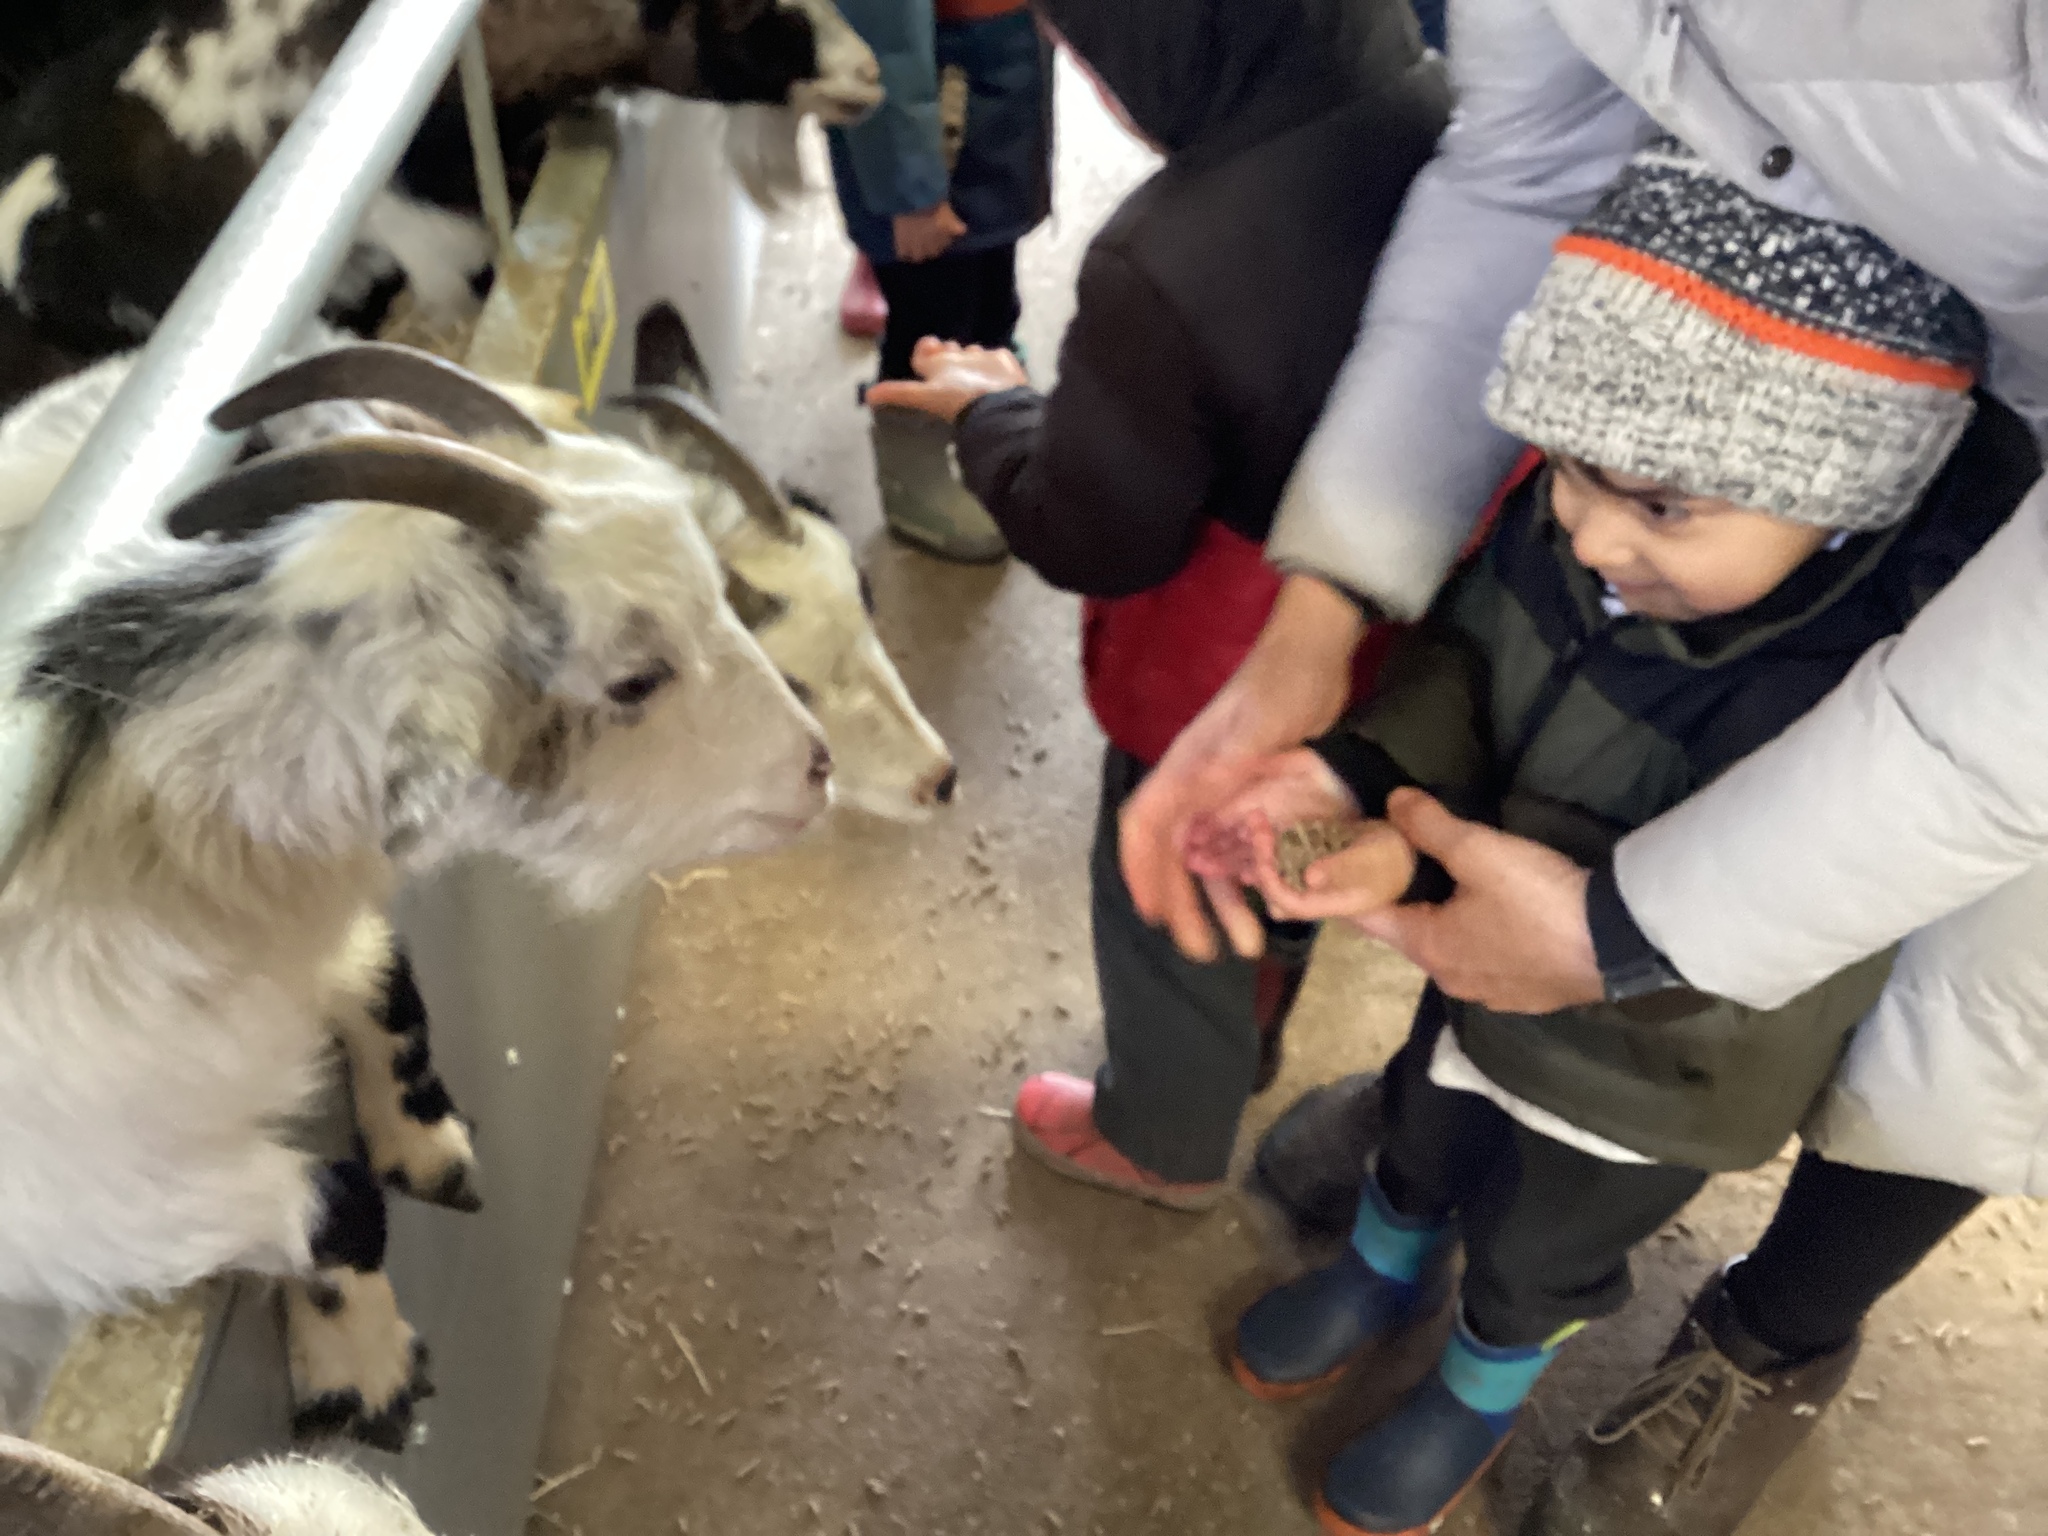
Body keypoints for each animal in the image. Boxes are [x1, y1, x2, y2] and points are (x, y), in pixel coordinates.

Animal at [0, 341, 831, 1446]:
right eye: (634, 679)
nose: (817, 766)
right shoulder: (106, 1207)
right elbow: (342, 1202)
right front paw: (371, 1376)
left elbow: (386, 979)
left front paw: (429, 1146)